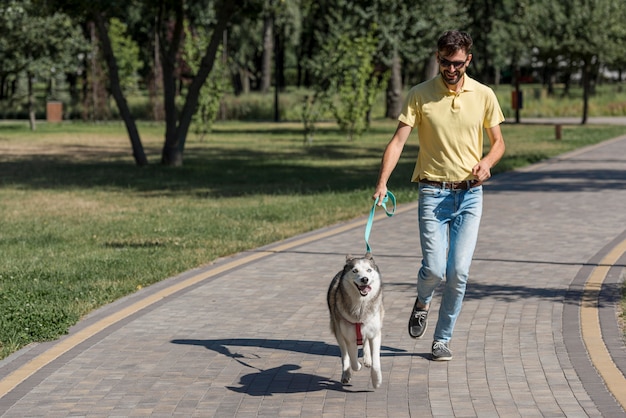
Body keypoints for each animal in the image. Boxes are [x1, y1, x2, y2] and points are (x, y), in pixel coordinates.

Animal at [324, 251, 382, 388]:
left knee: (365, 342)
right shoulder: (349, 337)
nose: (364, 279)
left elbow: (376, 361)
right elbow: (353, 360)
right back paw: (346, 373)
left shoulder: (375, 333)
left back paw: (367, 359)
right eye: (355, 270)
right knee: (344, 355)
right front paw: (358, 366)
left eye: (369, 270)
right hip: (338, 331)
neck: (361, 306)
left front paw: (376, 380)